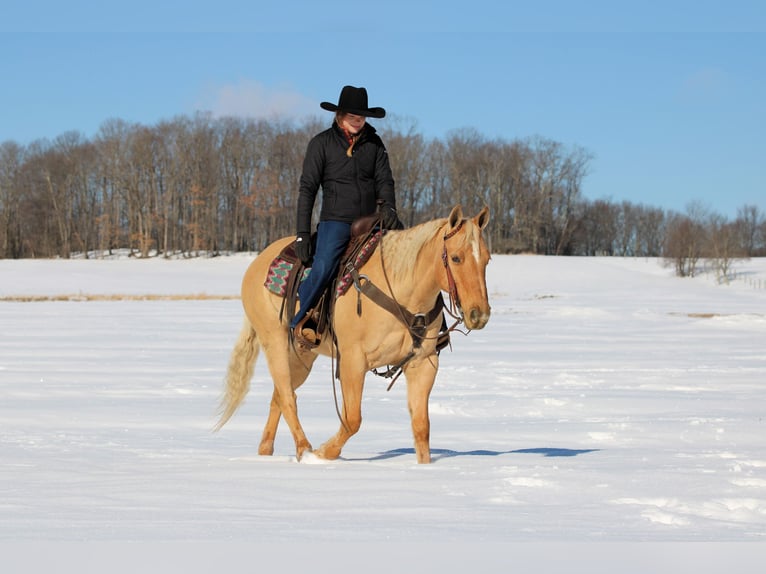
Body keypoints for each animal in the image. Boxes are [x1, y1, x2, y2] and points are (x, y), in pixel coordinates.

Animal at [214, 205, 491, 463]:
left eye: (487, 260)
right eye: (455, 258)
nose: (479, 314)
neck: (402, 291)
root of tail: (257, 262)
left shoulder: (423, 363)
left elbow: (421, 427)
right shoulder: (353, 361)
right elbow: (352, 419)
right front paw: (323, 454)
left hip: (302, 355)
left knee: (279, 397)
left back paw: (266, 452)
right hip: (275, 342)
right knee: (287, 396)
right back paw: (305, 450)